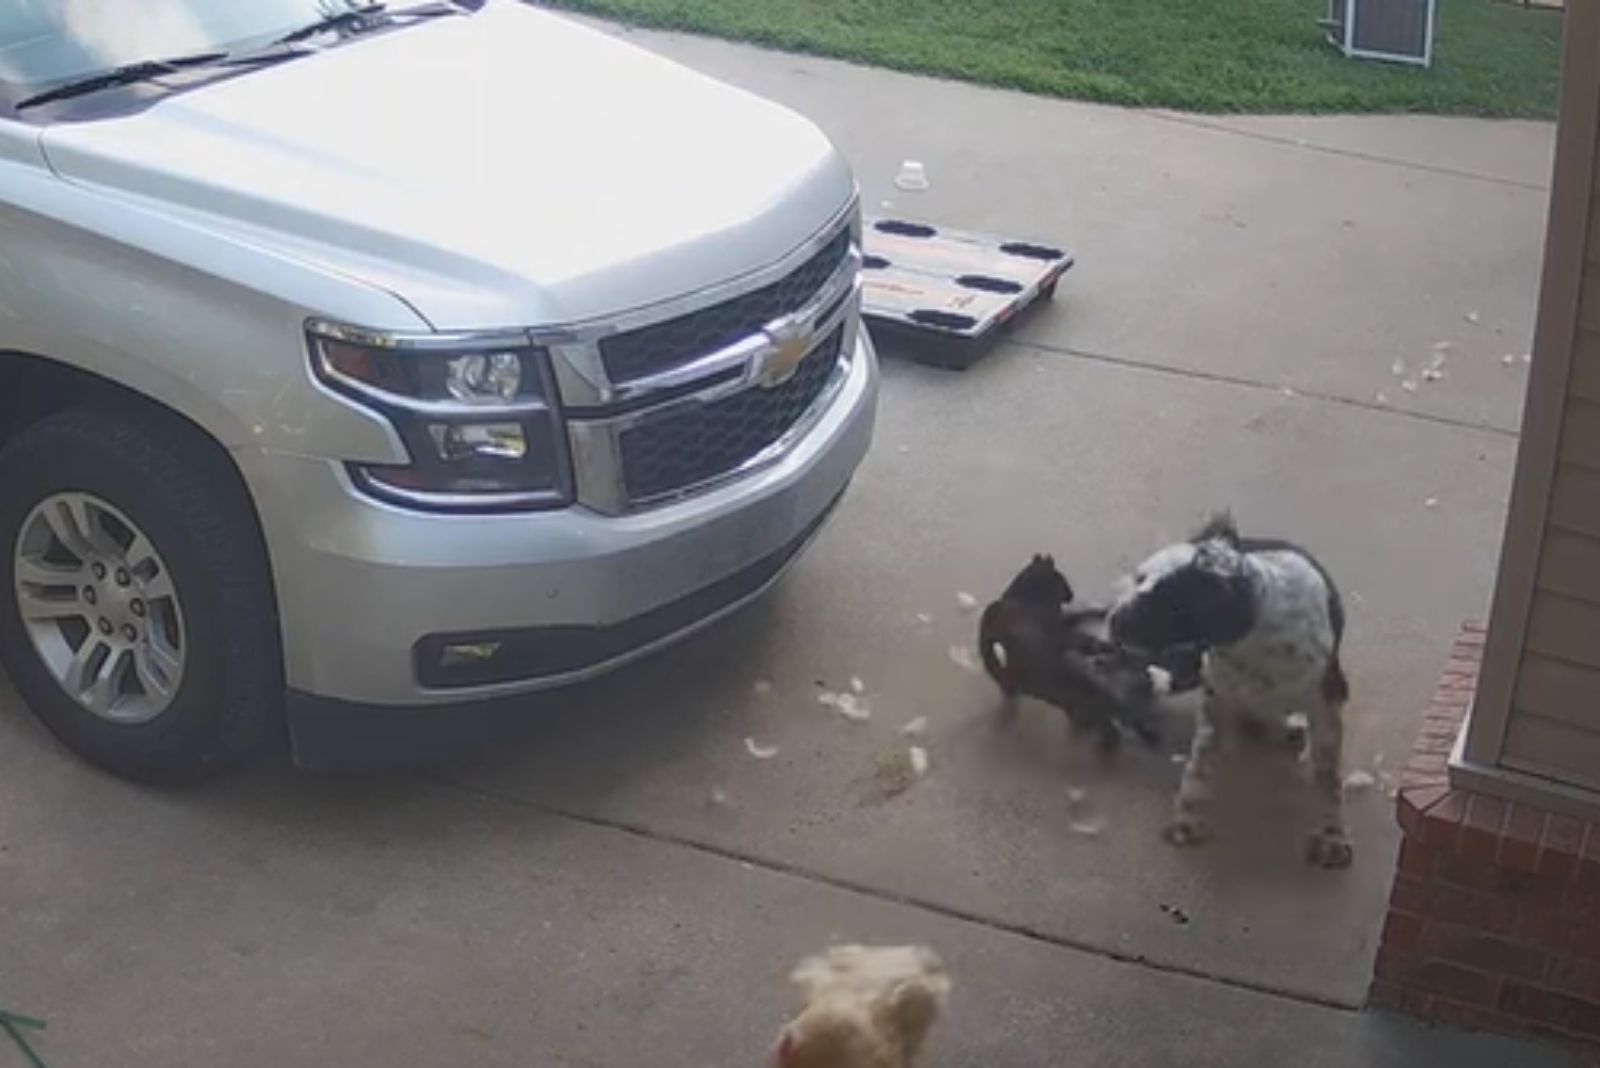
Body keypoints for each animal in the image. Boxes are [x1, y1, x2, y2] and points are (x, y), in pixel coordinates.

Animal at [1113, 514, 1350, 869]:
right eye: (1138, 579)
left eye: (1161, 607)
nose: (1111, 619)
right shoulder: (1217, 700)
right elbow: (1198, 764)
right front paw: (1188, 820)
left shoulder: (1327, 705)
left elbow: (1328, 779)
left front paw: (1331, 836)